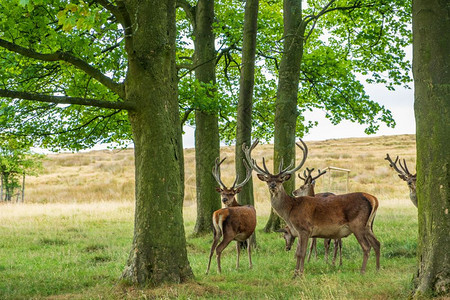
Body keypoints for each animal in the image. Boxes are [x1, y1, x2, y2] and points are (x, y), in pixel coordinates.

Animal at [243, 139, 380, 278]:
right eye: (267, 179)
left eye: (281, 179)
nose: (272, 185)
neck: (289, 211)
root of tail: (373, 199)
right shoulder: (298, 232)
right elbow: (298, 252)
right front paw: (296, 274)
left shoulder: (304, 229)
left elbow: (301, 253)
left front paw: (300, 274)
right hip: (368, 226)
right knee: (377, 243)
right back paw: (377, 269)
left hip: (357, 224)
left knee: (366, 247)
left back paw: (362, 271)